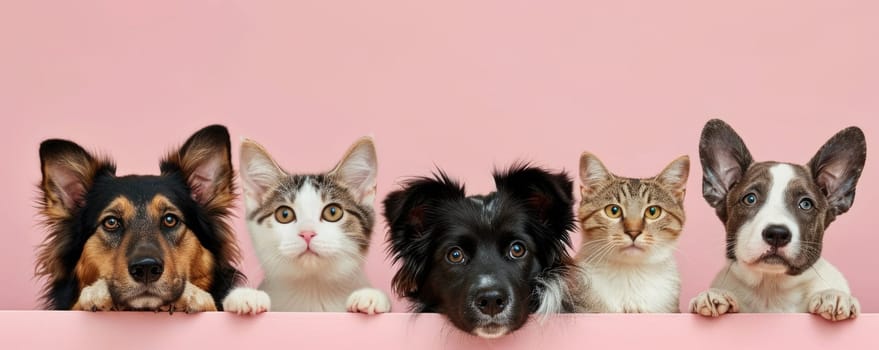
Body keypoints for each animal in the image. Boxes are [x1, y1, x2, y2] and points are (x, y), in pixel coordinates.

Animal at [223, 137, 392, 314]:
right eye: (284, 214)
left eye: (333, 212)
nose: (307, 234)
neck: (312, 289)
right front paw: (246, 295)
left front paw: (371, 296)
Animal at [688, 119, 868, 322]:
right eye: (750, 199)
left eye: (806, 204)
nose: (777, 234)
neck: (772, 289)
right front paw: (715, 294)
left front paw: (833, 295)